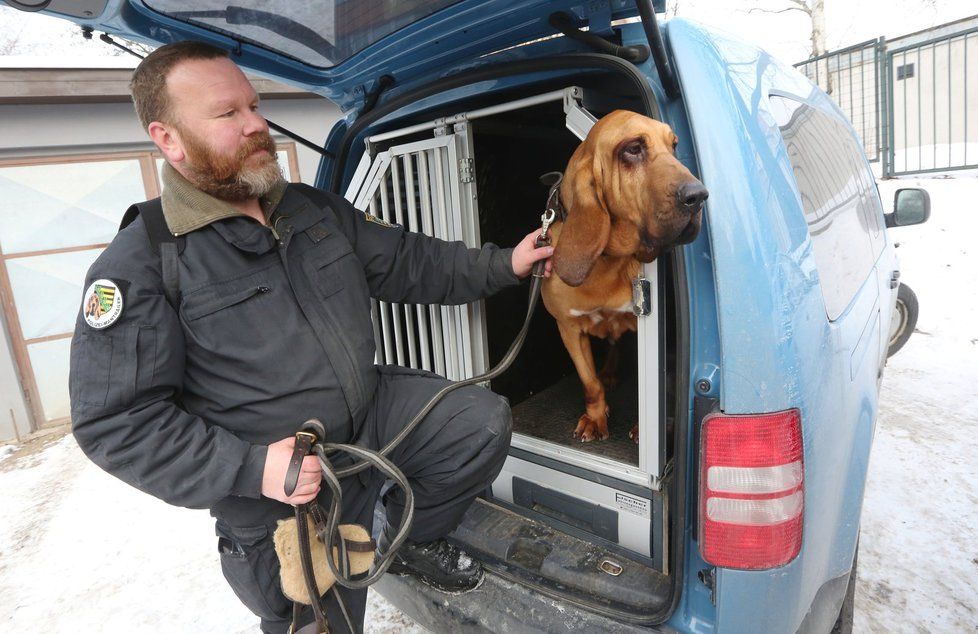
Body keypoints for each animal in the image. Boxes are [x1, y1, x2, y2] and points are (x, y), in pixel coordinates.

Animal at [536, 110, 704, 440]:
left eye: (673, 145)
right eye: (633, 148)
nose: (700, 195)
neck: (605, 261)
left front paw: (644, 427)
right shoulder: (569, 329)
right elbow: (590, 383)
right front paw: (595, 418)